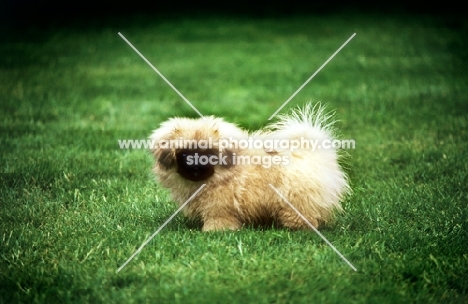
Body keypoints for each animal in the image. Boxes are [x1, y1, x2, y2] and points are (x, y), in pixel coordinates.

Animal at [148, 103, 350, 232]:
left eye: (209, 154)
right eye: (184, 154)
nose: (196, 166)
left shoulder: (219, 206)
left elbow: (218, 218)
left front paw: (214, 231)